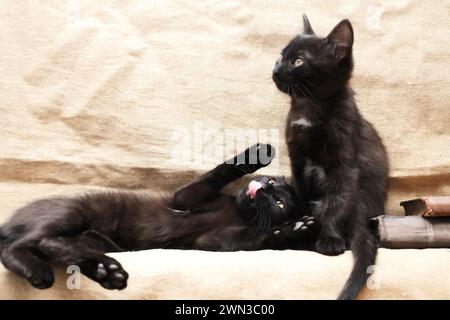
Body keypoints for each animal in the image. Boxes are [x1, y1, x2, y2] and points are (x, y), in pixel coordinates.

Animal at [0, 144, 318, 290]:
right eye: (272, 182)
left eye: (278, 202)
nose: (263, 187)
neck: (238, 211)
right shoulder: (186, 198)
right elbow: (218, 172)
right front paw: (257, 153)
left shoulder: (211, 240)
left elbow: (258, 236)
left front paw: (295, 229)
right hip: (72, 213)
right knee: (29, 244)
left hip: (86, 234)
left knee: (46, 245)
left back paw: (105, 271)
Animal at [270, 15, 390, 300]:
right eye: (280, 56)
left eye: (298, 61)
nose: (276, 70)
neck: (308, 108)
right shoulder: (297, 159)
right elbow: (301, 193)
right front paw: (300, 224)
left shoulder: (343, 163)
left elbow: (337, 202)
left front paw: (330, 240)